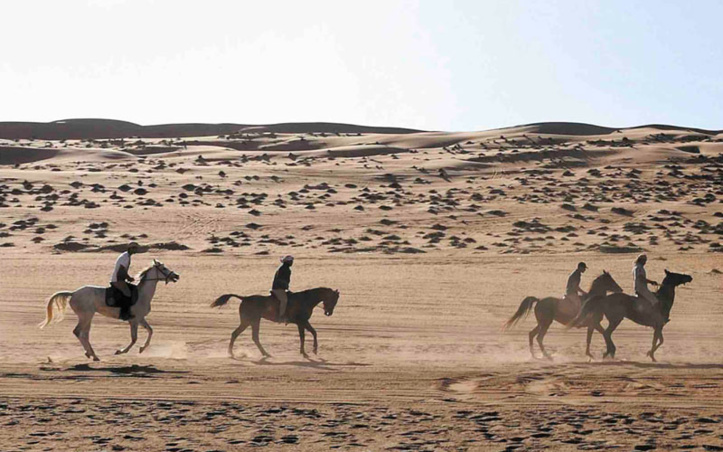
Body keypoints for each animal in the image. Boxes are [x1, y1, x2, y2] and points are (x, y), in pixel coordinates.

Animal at [39, 260, 181, 362]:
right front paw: (120, 351)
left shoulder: (140, 319)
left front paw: (141, 349)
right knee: (78, 332)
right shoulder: (134, 320)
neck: (142, 294)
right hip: (86, 316)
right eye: (163, 268)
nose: (176, 275)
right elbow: (134, 338)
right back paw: (92, 355)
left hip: (87, 317)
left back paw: (91, 354)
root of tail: (73, 293)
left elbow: (150, 331)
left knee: (84, 334)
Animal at [211, 288, 340, 358]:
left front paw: (309, 350)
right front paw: (310, 351)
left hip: (252, 321)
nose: (329, 313)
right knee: (241, 334)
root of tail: (244, 298)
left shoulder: (303, 322)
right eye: (333, 299)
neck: (306, 299)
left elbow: (312, 333)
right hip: (249, 320)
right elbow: (306, 335)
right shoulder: (301, 321)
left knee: (248, 336)